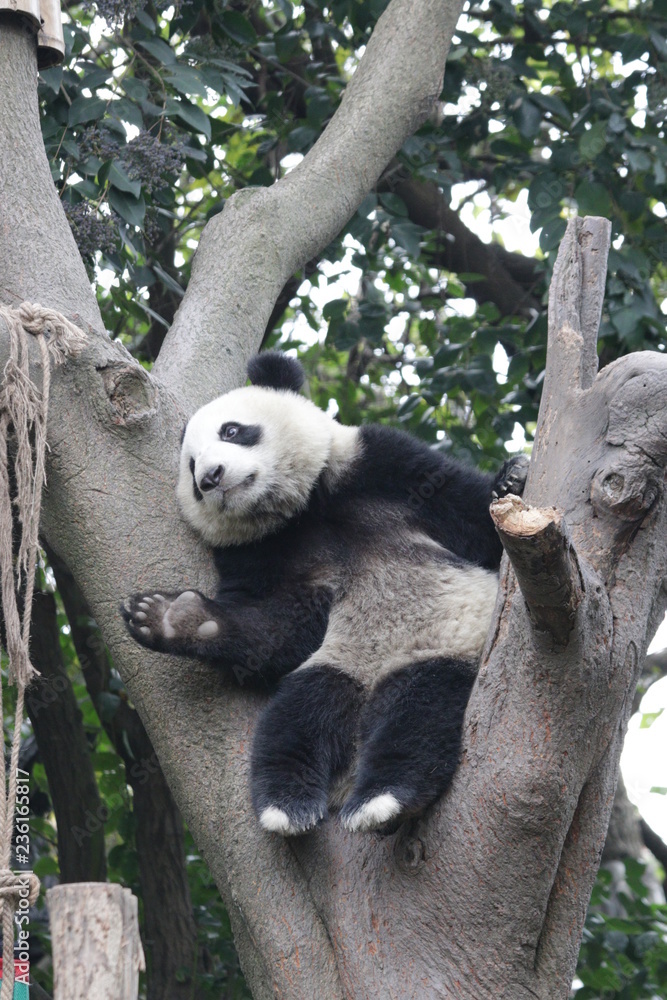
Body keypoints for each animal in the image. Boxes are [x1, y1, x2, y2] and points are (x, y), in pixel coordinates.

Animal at [122, 352, 528, 836]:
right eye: (190, 467)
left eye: (232, 431)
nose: (210, 478)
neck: (303, 511)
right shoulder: (257, 553)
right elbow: (280, 629)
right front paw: (175, 618)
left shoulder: (378, 465)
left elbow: (472, 519)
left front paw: (511, 479)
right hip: (338, 661)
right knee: (299, 713)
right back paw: (287, 804)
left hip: (445, 646)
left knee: (423, 709)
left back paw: (383, 797)